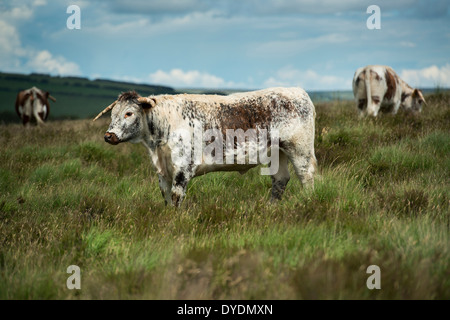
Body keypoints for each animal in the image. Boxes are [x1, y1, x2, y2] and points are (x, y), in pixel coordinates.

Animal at [92, 88, 316, 208]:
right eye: (113, 114)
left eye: (129, 113)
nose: (108, 135)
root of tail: (298, 91)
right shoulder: (163, 171)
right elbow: (166, 196)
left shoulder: (183, 167)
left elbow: (176, 195)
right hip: (278, 152)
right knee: (280, 179)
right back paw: (270, 208)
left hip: (300, 148)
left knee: (306, 175)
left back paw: (309, 201)